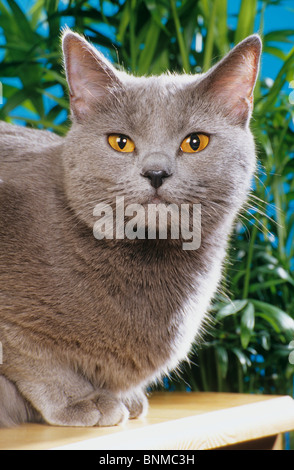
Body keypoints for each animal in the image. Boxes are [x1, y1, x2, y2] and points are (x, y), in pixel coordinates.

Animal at [0, 27, 262, 428]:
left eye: (195, 142)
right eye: (120, 142)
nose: (156, 172)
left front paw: (124, 397)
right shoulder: (16, 328)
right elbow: (31, 352)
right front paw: (83, 399)